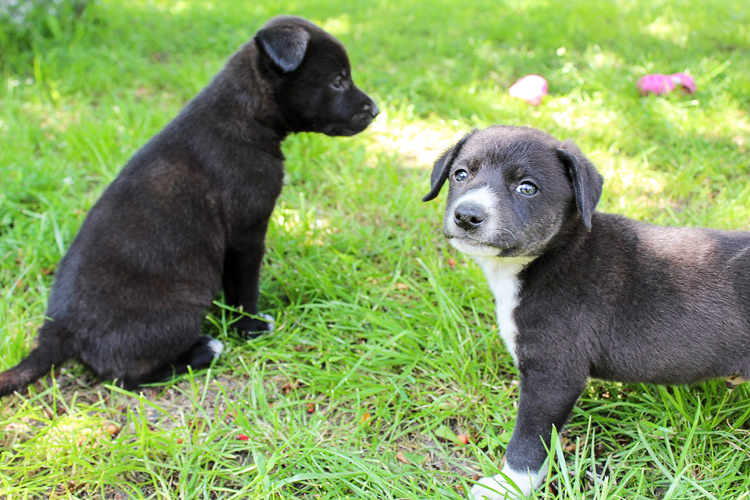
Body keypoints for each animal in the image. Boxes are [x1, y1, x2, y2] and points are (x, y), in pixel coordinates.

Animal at [0, 15, 376, 396]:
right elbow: (244, 288)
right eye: (338, 81)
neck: (244, 114)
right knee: (128, 376)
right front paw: (250, 327)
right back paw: (203, 351)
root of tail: (58, 332)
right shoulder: (246, 233)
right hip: (178, 310)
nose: (375, 110)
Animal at [426, 124, 748, 496]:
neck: (551, 257)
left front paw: (508, 485)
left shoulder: (553, 374)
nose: (467, 216)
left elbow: (529, 439)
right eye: (461, 174)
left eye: (527, 188)